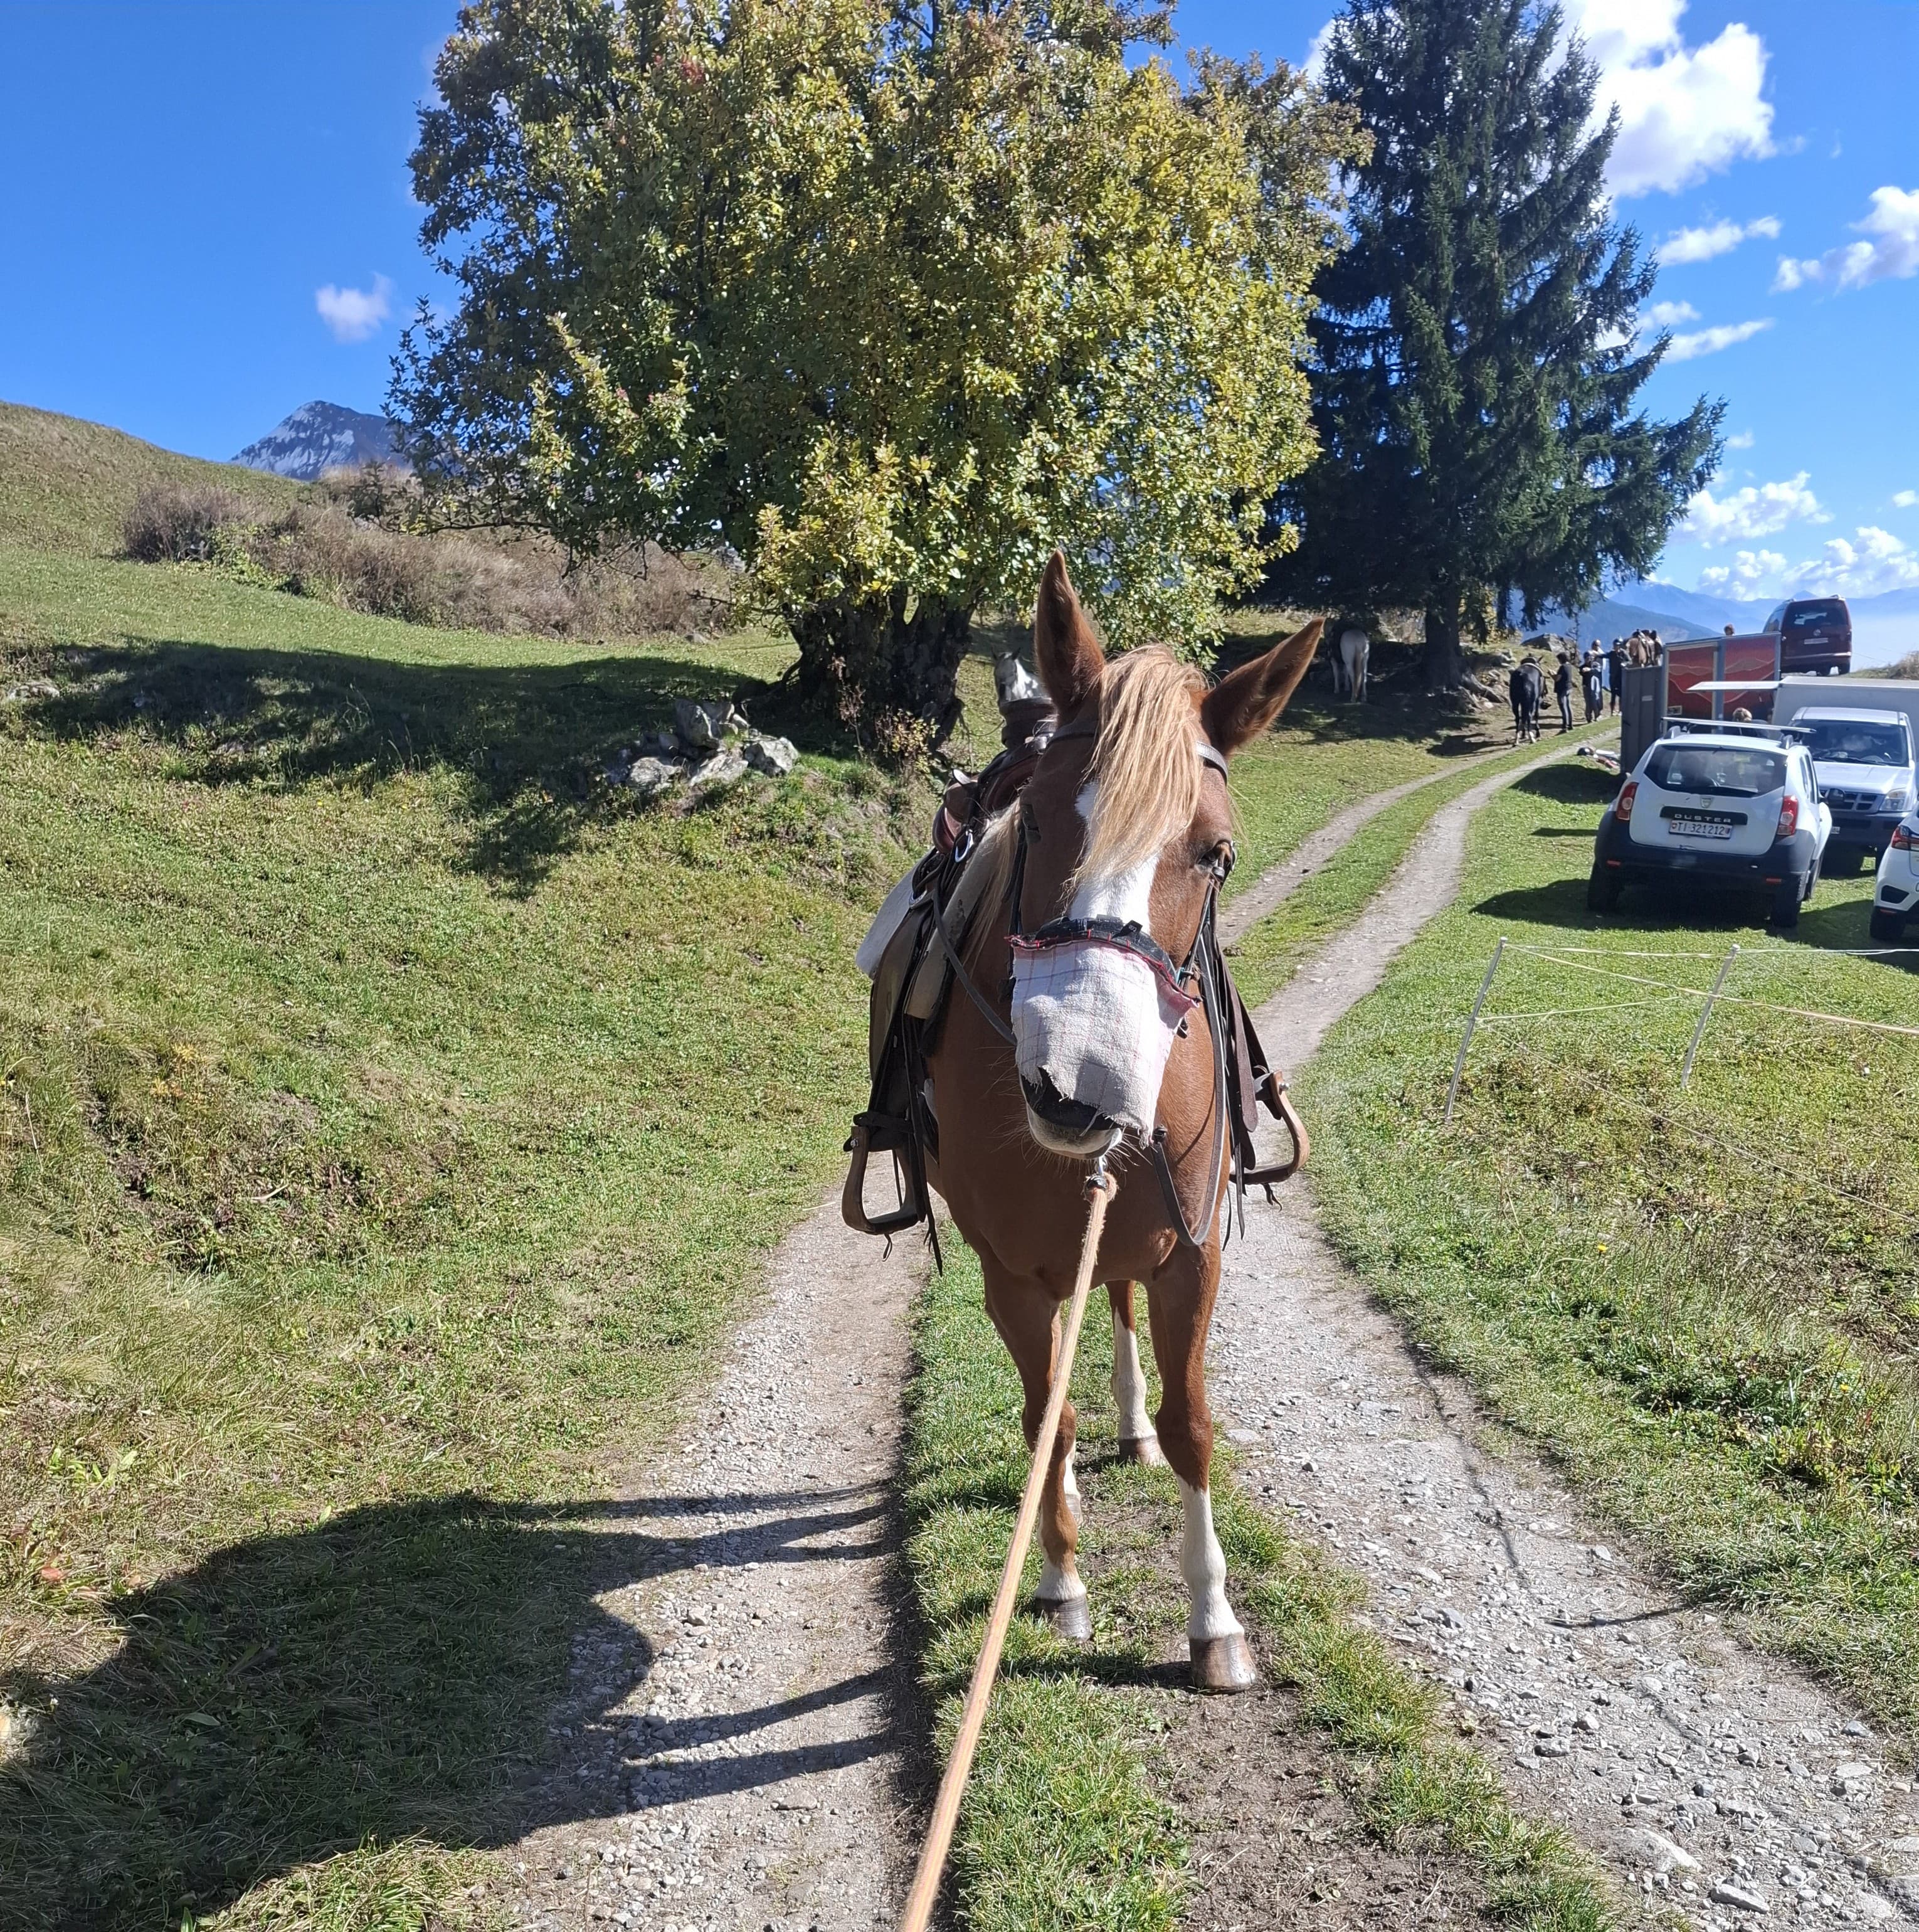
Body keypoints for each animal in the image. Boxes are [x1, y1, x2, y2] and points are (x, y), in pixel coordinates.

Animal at [924, 552, 1321, 1692]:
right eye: (1039, 822)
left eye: (1219, 855)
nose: (1078, 1083)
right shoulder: (1009, 1276)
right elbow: (1045, 1422)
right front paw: (1059, 1581)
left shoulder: (1191, 1251)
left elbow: (1194, 1427)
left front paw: (1214, 1619)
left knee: (1119, 1306)